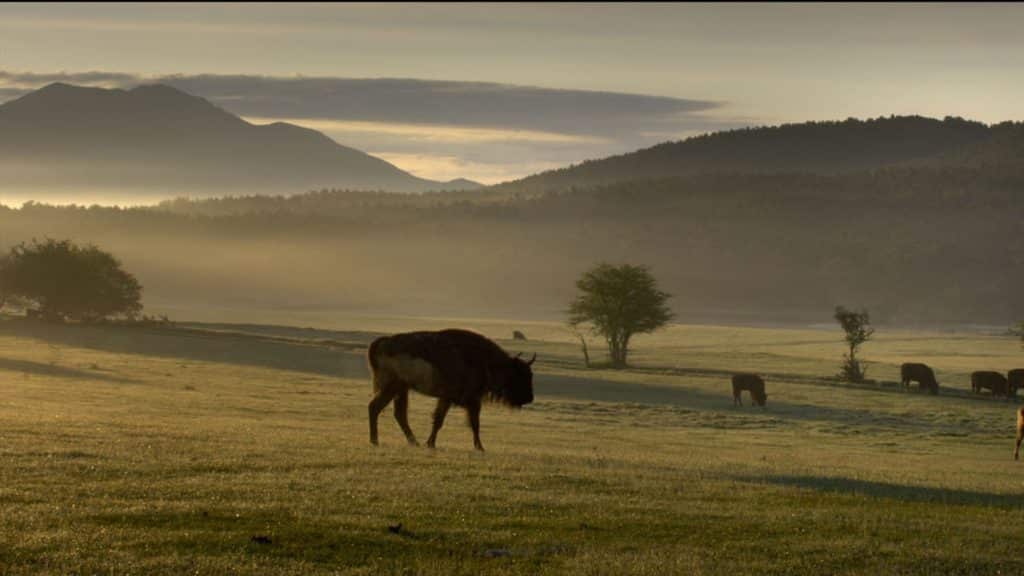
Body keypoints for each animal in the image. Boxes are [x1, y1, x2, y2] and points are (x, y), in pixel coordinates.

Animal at [366, 330, 536, 450]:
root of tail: (382, 342)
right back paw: (375, 441)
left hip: (401, 389)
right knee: (375, 407)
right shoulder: (468, 400)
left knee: (399, 414)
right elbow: (467, 423)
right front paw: (480, 448)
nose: (530, 398)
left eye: (530, 374)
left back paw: (414, 442)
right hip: (391, 387)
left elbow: (443, 421)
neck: (486, 361)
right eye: (519, 375)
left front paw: (430, 443)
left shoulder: (451, 400)